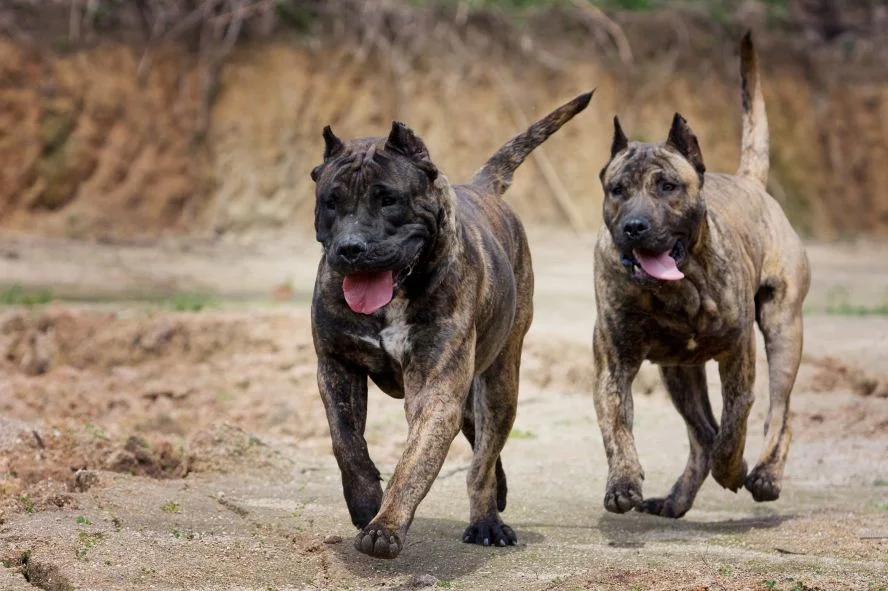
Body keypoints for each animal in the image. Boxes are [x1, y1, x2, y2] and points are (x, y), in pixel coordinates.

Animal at [308, 90, 592, 556]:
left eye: (388, 199)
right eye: (331, 202)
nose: (351, 247)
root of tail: (481, 187)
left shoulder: (436, 389)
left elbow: (414, 462)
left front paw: (386, 525)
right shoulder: (336, 366)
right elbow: (345, 441)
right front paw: (365, 501)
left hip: (500, 383)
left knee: (482, 460)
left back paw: (487, 520)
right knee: (481, 445)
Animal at [592, 33, 808, 520]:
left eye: (667, 186)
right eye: (618, 190)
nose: (635, 226)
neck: (676, 289)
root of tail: (751, 182)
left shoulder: (739, 354)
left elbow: (734, 423)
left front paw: (734, 467)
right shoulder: (614, 364)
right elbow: (618, 427)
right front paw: (623, 482)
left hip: (784, 330)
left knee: (779, 414)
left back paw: (764, 474)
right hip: (678, 373)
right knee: (700, 433)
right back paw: (677, 498)